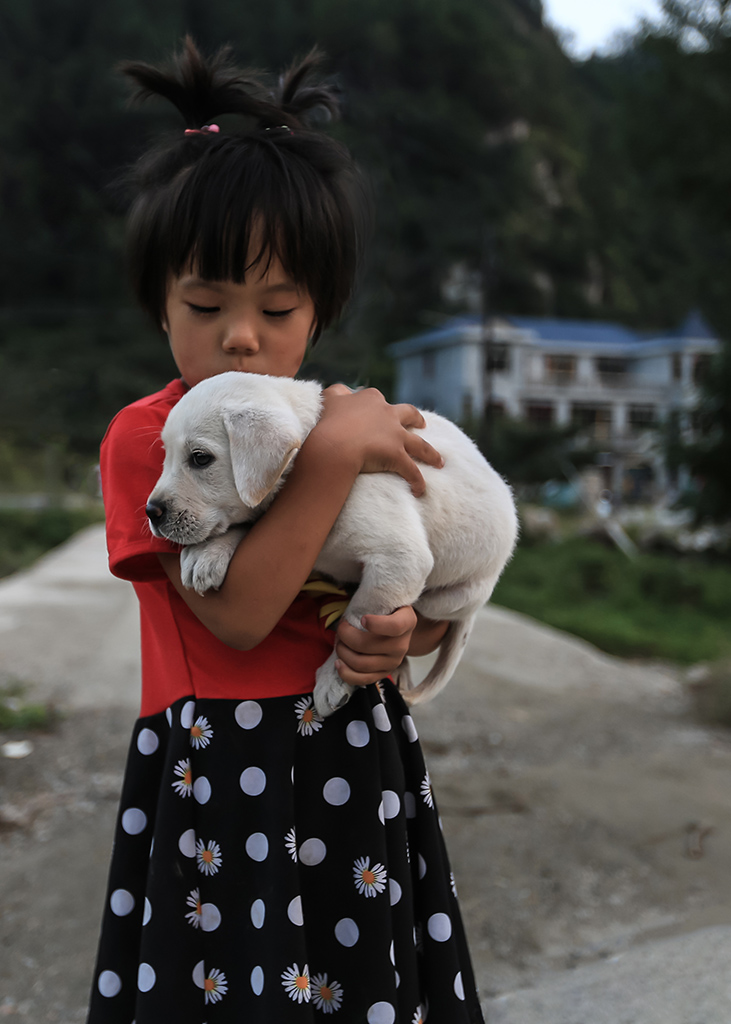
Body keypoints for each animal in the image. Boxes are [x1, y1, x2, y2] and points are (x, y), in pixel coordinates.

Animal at [145, 372, 516, 716]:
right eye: (167, 455)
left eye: (200, 458)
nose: (152, 512)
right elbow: (253, 520)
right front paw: (207, 554)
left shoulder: (400, 560)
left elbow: (358, 619)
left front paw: (334, 679)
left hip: (448, 598)